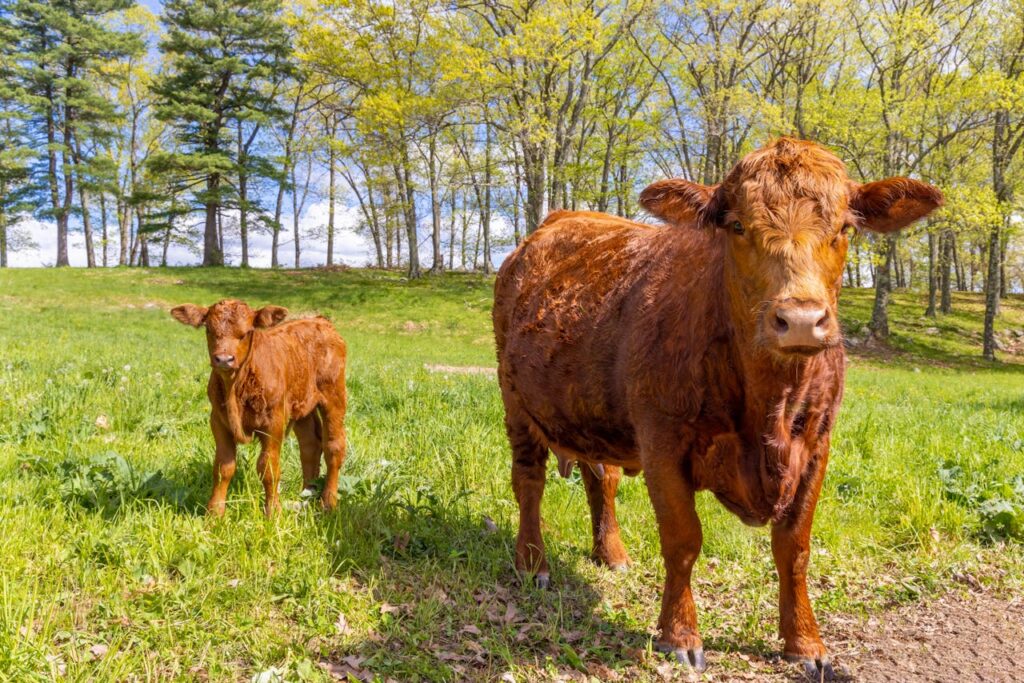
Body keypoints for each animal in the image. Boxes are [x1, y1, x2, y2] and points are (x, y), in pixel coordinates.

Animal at [171, 300, 348, 516]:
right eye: (208, 330)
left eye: (247, 332)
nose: (224, 359)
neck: (235, 387)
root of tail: (320, 321)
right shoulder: (218, 421)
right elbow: (223, 467)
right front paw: (214, 513)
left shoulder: (273, 422)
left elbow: (268, 467)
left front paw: (273, 512)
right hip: (302, 406)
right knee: (310, 446)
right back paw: (307, 495)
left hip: (334, 396)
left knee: (334, 447)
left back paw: (328, 502)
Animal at [492, 138, 942, 679]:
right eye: (738, 226)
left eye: (844, 228)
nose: (800, 319)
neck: (768, 408)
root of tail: (555, 223)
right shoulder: (662, 441)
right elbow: (683, 539)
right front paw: (680, 635)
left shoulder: (817, 445)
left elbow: (795, 548)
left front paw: (805, 642)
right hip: (516, 403)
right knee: (529, 482)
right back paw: (531, 563)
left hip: (593, 412)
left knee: (602, 479)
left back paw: (612, 553)